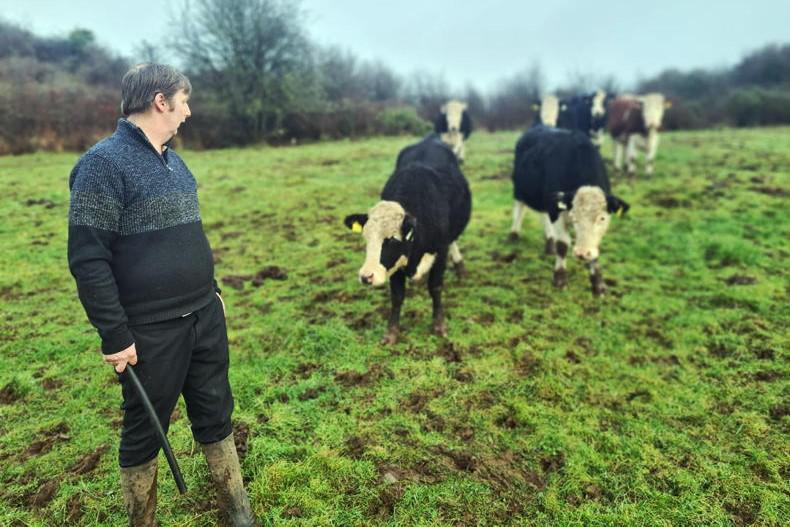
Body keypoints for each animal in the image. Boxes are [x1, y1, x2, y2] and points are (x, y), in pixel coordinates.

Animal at [344, 134, 472, 344]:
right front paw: (391, 332)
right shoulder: (397, 265)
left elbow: (435, 287)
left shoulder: (441, 251)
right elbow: (397, 296)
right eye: (366, 238)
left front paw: (439, 324)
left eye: (392, 240)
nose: (366, 276)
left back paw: (460, 266)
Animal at [509, 126, 630, 296]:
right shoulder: (558, 212)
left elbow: (594, 248)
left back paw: (549, 243)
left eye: (602, 218)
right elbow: (563, 244)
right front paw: (560, 279)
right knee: (519, 209)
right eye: (574, 217)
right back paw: (513, 234)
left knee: (543, 216)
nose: (581, 253)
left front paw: (598, 284)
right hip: (520, 190)